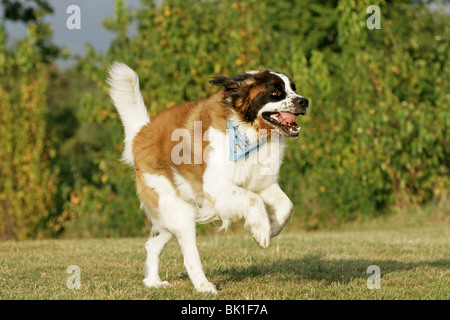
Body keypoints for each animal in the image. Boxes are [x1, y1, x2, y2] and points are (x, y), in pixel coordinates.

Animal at [107, 63, 308, 296]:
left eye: (293, 89)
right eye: (276, 93)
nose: (304, 101)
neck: (249, 130)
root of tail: (142, 132)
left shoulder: (262, 183)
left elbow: (286, 205)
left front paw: (272, 227)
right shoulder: (217, 187)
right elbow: (253, 200)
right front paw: (262, 231)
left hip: (172, 216)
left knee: (153, 245)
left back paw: (154, 282)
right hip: (179, 212)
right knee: (189, 256)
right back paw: (204, 286)